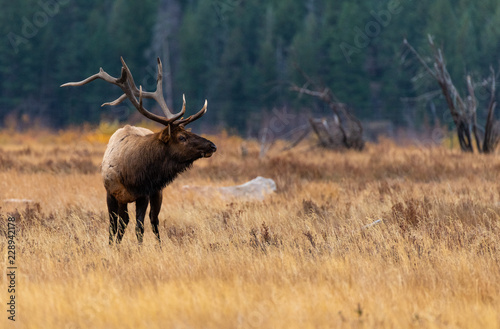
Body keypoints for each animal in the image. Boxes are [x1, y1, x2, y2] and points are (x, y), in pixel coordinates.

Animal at [59, 58, 216, 243]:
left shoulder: (144, 194)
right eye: (182, 137)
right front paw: (112, 246)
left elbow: (139, 227)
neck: (131, 175)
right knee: (125, 222)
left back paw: (159, 245)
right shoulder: (111, 193)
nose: (212, 145)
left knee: (154, 220)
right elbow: (114, 226)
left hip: (157, 192)